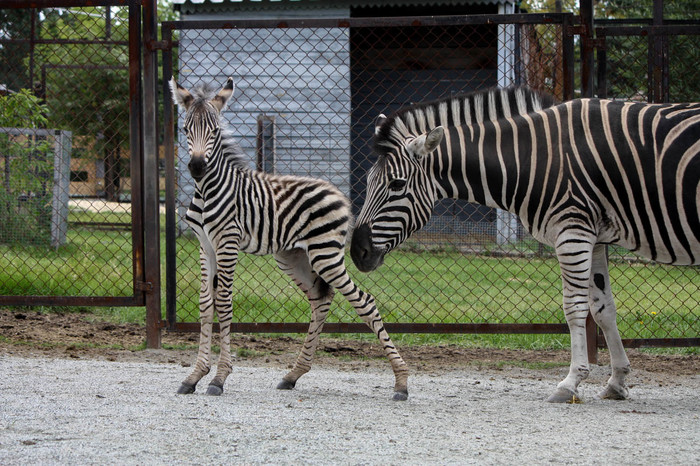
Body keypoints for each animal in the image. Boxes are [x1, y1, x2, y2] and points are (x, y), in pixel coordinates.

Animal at [171, 77, 410, 400]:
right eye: (185, 129)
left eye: (215, 131)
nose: (197, 167)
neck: (209, 190)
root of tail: (337, 192)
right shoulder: (205, 246)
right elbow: (206, 304)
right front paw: (194, 375)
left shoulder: (227, 243)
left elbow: (224, 302)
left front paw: (219, 378)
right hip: (293, 256)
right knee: (321, 300)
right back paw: (293, 375)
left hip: (325, 255)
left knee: (365, 302)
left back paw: (401, 382)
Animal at [350, 85, 700, 402]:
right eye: (367, 182)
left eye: (397, 185)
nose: (356, 252)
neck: (534, 158)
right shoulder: (595, 237)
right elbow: (603, 309)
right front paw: (617, 382)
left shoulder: (572, 231)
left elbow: (574, 307)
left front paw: (571, 382)